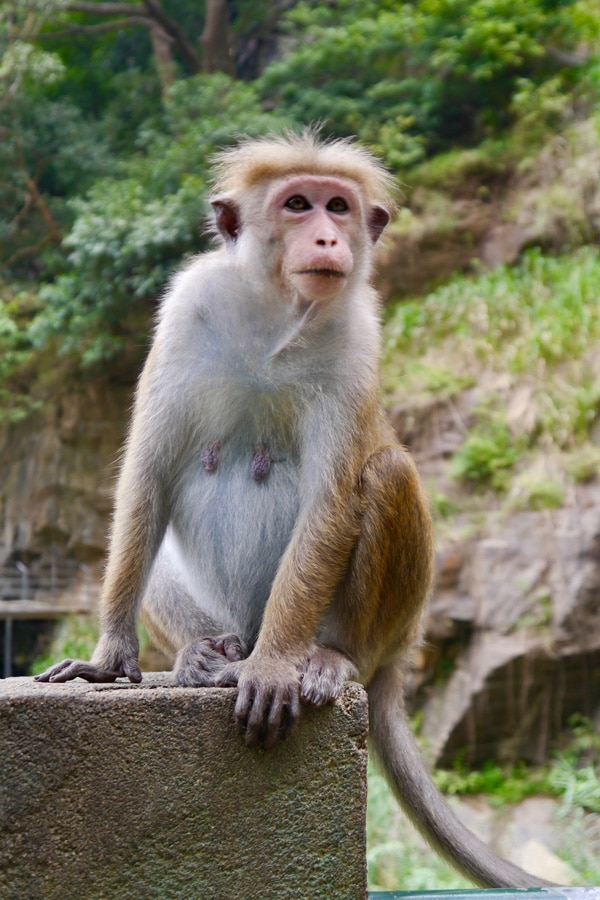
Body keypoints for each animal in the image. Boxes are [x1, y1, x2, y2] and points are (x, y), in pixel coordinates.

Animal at [36, 131, 551, 889]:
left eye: (338, 206)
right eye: (298, 203)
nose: (328, 236)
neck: (277, 311)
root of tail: (403, 647)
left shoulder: (357, 337)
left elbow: (331, 503)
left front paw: (275, 668)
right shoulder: (186, 309)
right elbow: (147, 478)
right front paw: (110, 656)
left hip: (388, 621)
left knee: (386, 472)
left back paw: (326, 658)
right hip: (228, 611)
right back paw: (205, 653)